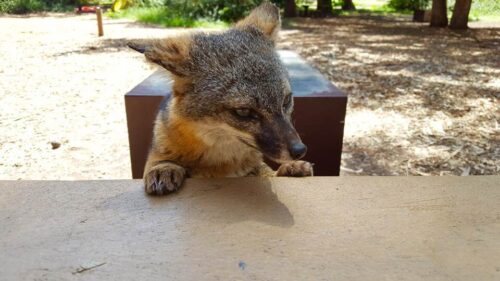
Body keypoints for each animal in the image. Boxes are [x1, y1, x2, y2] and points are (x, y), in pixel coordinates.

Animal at [128, 1, 312, 195]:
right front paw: (164, 167)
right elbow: (158, 160)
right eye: (243, 111)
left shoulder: (255, 167)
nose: (300, 150)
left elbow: (267, 171)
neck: (221, 165)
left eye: (286, 100)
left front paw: (288, 168)